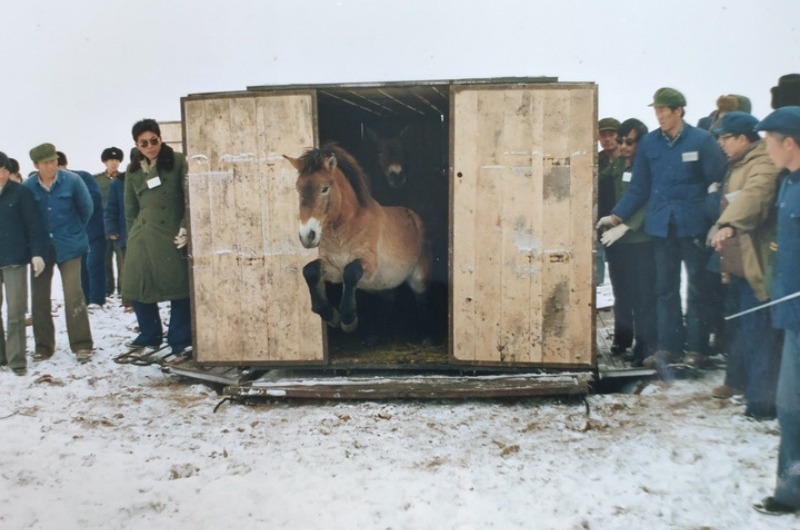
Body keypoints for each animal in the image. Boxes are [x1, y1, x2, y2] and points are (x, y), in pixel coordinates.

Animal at [284, 144, 432, 338]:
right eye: (298, 189)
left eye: (325, 188)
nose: (307, 236)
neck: (342, 233)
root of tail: (414, 217)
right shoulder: (333, 268)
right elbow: (309, 270)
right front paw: (330, 315)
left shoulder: (368, 265)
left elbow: (351, 272)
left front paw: (348, 320)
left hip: (418, 279)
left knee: (422, 301)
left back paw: (425, 336)